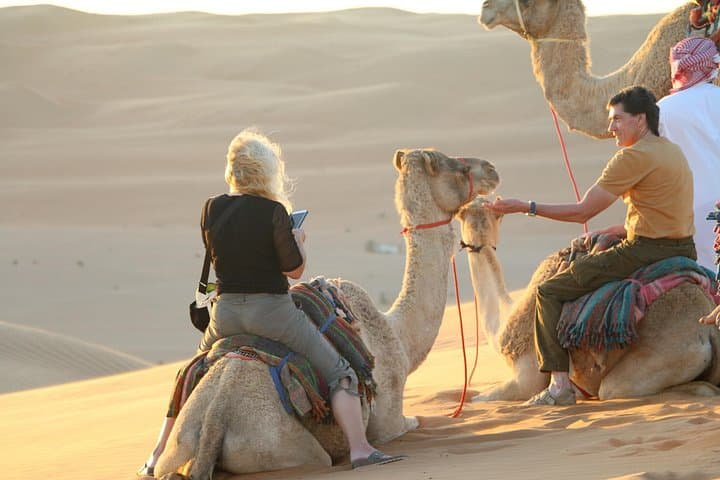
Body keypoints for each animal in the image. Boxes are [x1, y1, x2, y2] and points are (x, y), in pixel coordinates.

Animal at [154, 149, 499, 479]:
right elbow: (413, 421)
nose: (491, 169)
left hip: (180, 448)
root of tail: (216, 418)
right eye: (456, 166)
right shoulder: (391, 421)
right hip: (289, 448)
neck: (396, 334)